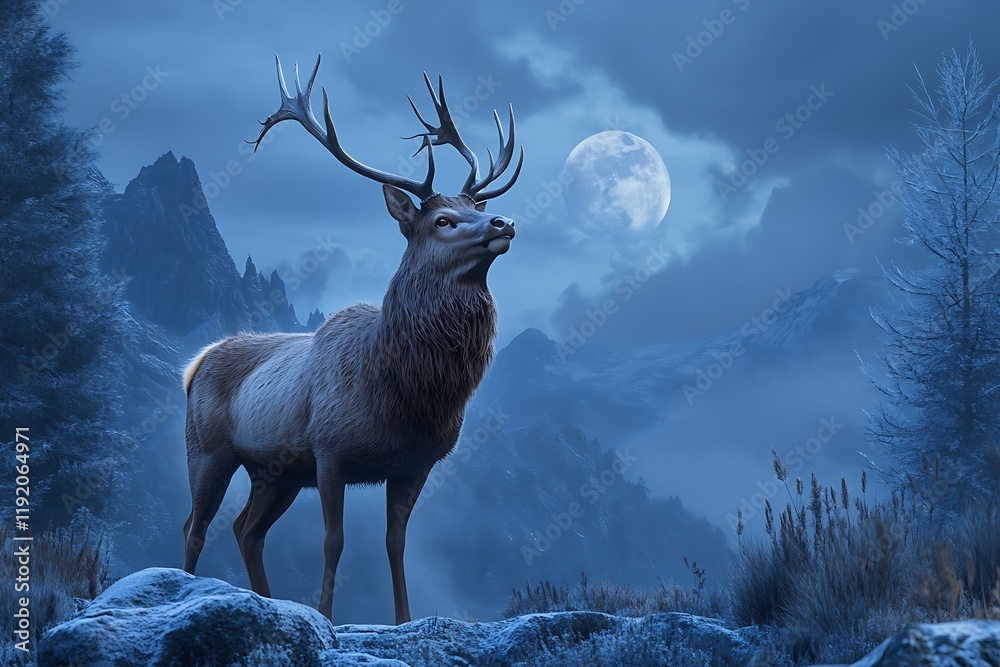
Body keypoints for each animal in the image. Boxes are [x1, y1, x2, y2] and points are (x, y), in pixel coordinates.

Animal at [180, 54, 522, 625]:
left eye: (474, 207)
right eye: (442, 219)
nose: (504, 220)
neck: (408, 390)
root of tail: (195, 363)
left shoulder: (414, 464)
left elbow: (395, 544)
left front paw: (403, 620)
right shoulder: (329, 451)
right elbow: (334, 542)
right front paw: (327, 616)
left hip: (275, 473)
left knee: (246, 529)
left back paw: (265, 600)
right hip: (207, 448)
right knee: (196, 525)